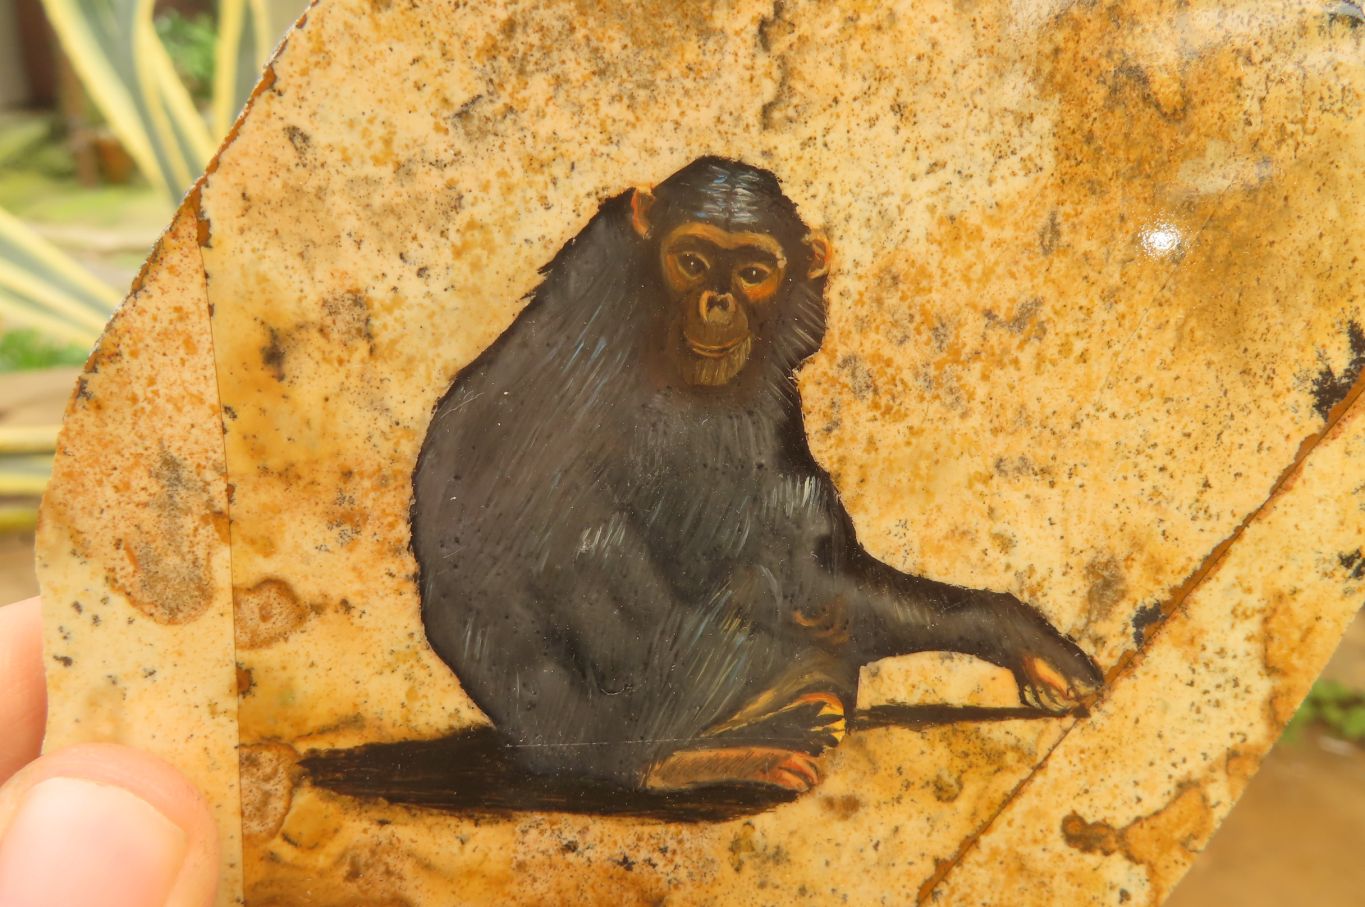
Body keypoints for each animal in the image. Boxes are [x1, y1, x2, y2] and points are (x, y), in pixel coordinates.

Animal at [411, 157, 1101, 794]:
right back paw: (715, 752)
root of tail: (545, 753)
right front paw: (1019, 633)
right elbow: (809, 581)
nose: (717, 300)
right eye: (691, 260)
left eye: (752, 272)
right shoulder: (714, 428)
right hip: (675, 691)